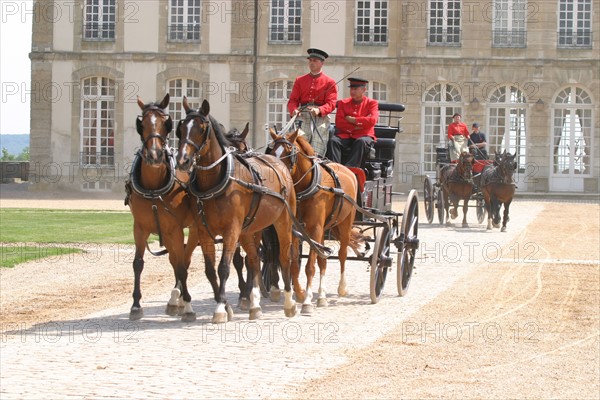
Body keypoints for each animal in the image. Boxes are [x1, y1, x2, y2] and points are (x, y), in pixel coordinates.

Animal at [125, 94, 199, 322]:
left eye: (166, 123)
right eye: (142, 124)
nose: (155, 155)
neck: (153, 188)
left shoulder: (175, 229)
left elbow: (182, 266)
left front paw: (189, 306)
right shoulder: (140, 228)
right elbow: (138, 263)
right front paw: (136, 305)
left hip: (193, 229)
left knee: (184, 259)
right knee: (175, 259)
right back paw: (175, 299)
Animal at [176, 97, 300, 322]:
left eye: (201, 128)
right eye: (180, 128)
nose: (183, 160)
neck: (216, 182)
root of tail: (279, 163)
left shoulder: (231, 230)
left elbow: (224, 267)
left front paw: (220, 308)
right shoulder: (203, 231)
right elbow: (211, 270)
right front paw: (227, 304)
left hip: (283, 222)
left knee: (284, 257)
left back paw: (289, 300)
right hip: (251, 229)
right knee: (254, 259)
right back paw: (255, 304)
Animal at [270, 128, 360, 316]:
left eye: (289, 153)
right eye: (272, 152)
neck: (306, 186)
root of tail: (348, 170)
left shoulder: (314, 229)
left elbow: (310, 267)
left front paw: (307, 301)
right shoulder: (297, 229)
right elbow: (295, 263)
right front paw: (300, 294)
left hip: (345, 223)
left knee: (342, 254)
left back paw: (342, 288)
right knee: (323, 260)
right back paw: (322, 296)